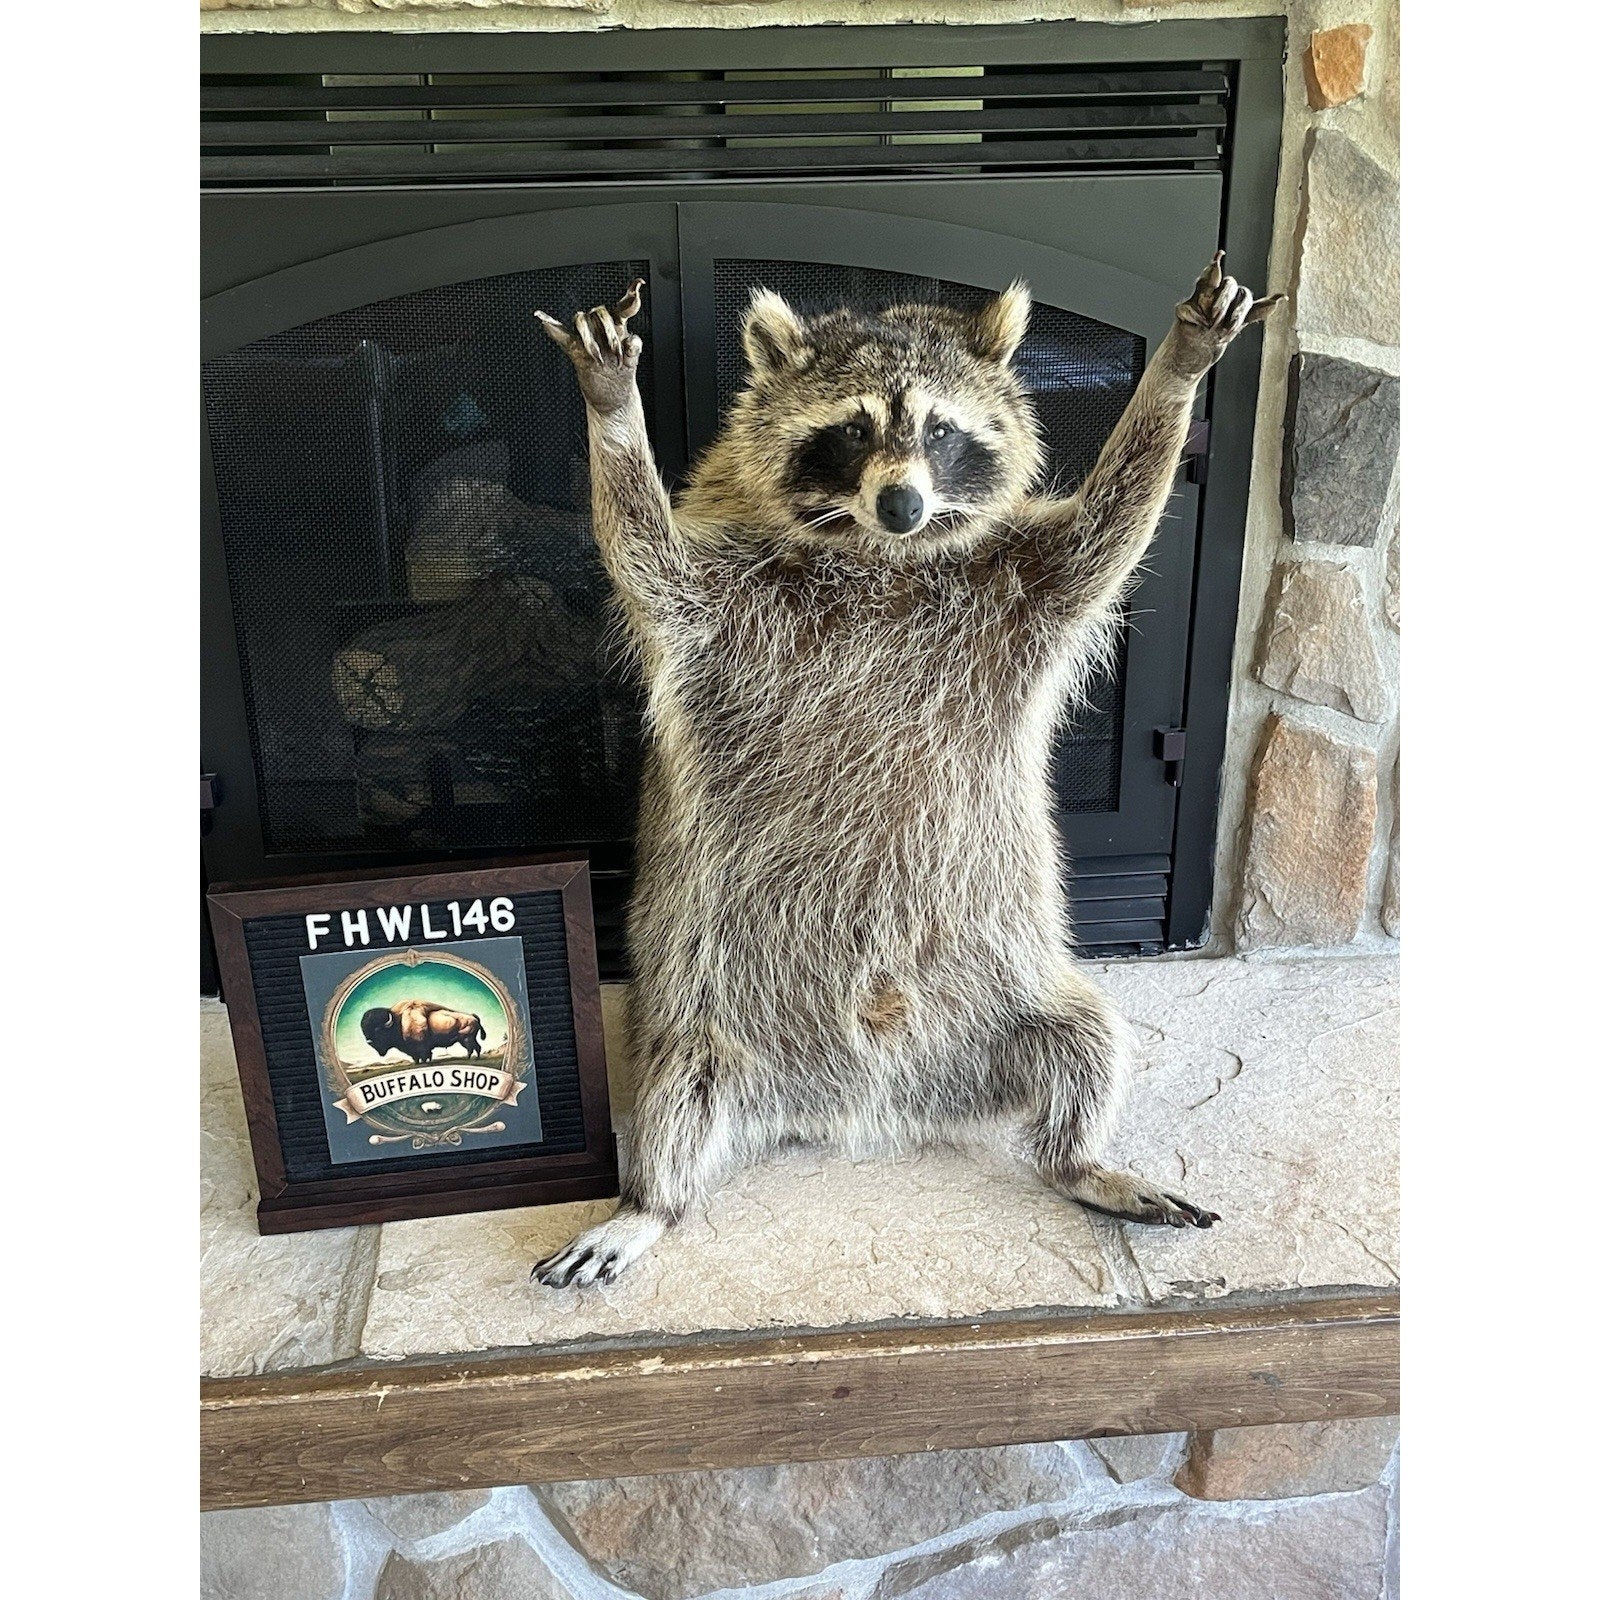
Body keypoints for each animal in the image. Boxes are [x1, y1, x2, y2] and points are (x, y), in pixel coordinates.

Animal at [533, 256, 1279, 1287]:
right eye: (852, 430)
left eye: (939, 430)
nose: (902, 503)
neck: (878, 555)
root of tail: (865, 1103)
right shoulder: (716, 603)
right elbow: (645, 554)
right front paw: (614, 409)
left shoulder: (1025, 583)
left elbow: (1111, 526)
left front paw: (1177, 370)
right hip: (700, 1015)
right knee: (673, 1093)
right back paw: (650, 1202)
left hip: (1023, 995)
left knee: (1089, 1041)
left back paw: (1081, 1157)